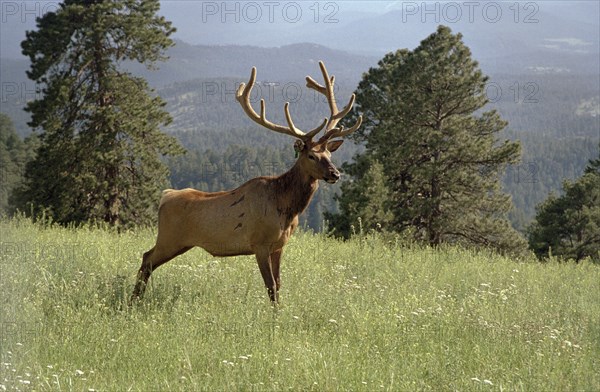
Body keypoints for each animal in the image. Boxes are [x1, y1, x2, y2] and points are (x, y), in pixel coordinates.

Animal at [132, 60, 360, 304]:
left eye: (329, 153)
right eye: (311, 156)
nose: (335, 174)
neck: (287, 209)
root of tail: (165, 196)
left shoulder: (279, 246)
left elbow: (279, 284)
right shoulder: (259, 243)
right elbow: (270, 286)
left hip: (178, 242)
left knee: (146, 259)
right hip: (170, 238)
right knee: (146, 259)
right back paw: (133, 301)